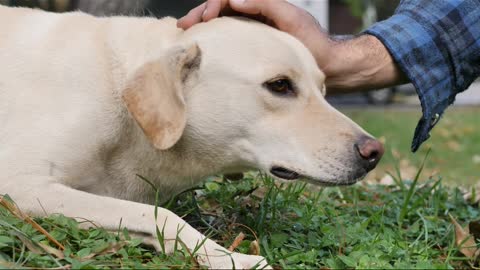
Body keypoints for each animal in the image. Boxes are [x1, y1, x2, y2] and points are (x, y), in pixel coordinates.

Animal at [0, 5, 384, 268]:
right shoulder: (20, 187)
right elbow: (161, 215)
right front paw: (234, 258)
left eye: (323, 90)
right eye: (279, 85)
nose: (374, 152)